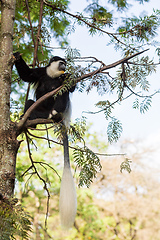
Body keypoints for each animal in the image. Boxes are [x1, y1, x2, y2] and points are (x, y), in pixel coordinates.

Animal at [13, 51, 77, 228]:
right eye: (61, 62)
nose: (64, 67)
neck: (53, 75)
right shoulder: (41, 72)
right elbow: (27, 75)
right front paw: (16, 55)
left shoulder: (61, 79)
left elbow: (70, 87)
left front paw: (68, 77)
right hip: (39, 110)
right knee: (30, 103)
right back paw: (29, 120)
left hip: (58, 108)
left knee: (63, 93)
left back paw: (55, 113)